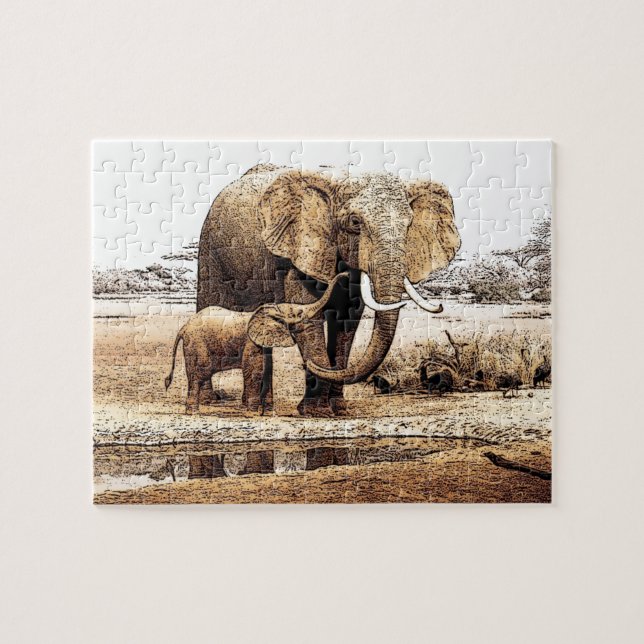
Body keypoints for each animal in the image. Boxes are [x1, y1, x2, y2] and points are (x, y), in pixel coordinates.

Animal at [165, 271, 349, 413]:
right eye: (297, 314)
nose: (346, 275)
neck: (272, 308)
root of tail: (183, 327)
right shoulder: (250, 342)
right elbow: (255, 370)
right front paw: (253, 413)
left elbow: (266, 369)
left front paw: (267, 412)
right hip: (196, 344)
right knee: (198, 374)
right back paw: (193, 412)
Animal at [197, 163, 460, 416]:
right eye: (355, 222)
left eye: (408, 224)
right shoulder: (297, 254)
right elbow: (306, 318)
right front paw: (317, 411)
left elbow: (348, 322)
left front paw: (338, 409)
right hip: (210, 251)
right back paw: (211, 401)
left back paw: (266, 407)